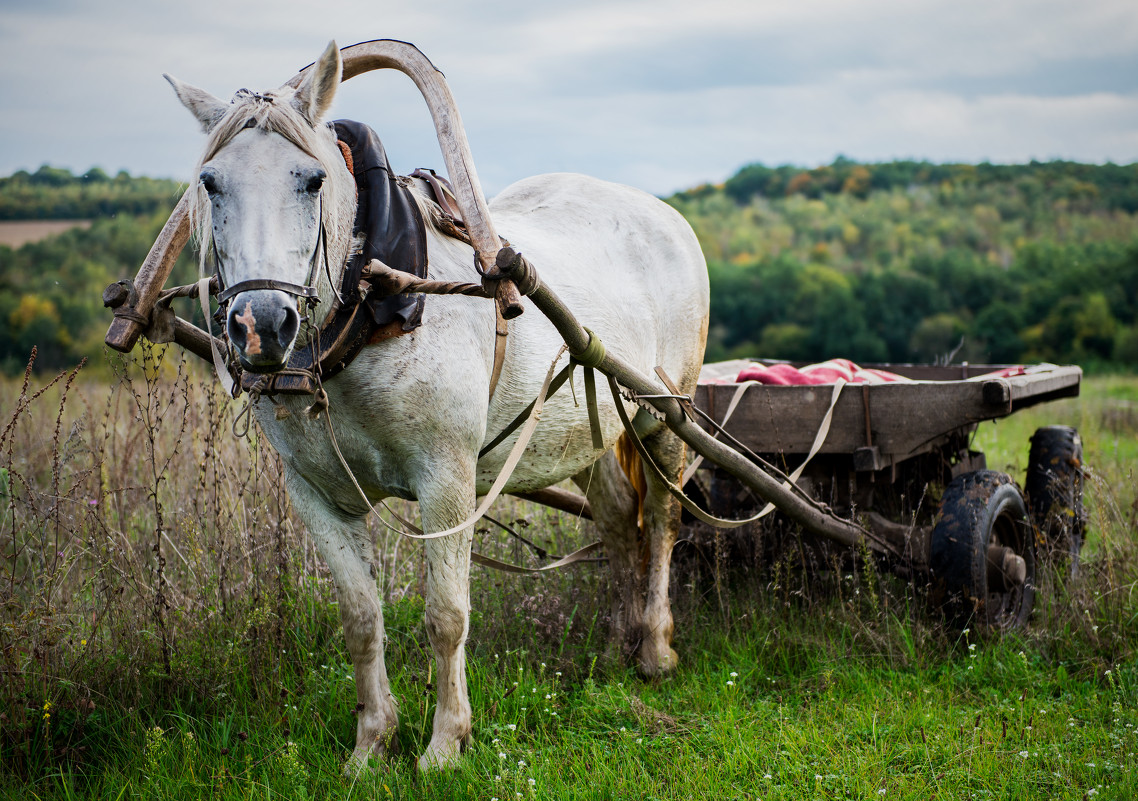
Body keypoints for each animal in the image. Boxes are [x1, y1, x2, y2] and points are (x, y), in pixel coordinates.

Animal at [166, 43, 705, 769]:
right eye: (211, 183)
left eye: (311, 180)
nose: (260, 325)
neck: (373, 312)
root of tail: (663, 213)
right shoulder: (314, 491)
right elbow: (361, 618)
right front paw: (371, 744)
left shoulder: (446, 478)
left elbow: (446, 614)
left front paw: (446, 744)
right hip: (588, 423)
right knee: (621, 517)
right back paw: (616, 647)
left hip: (662, 411)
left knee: (666, 520)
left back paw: (653, 648)